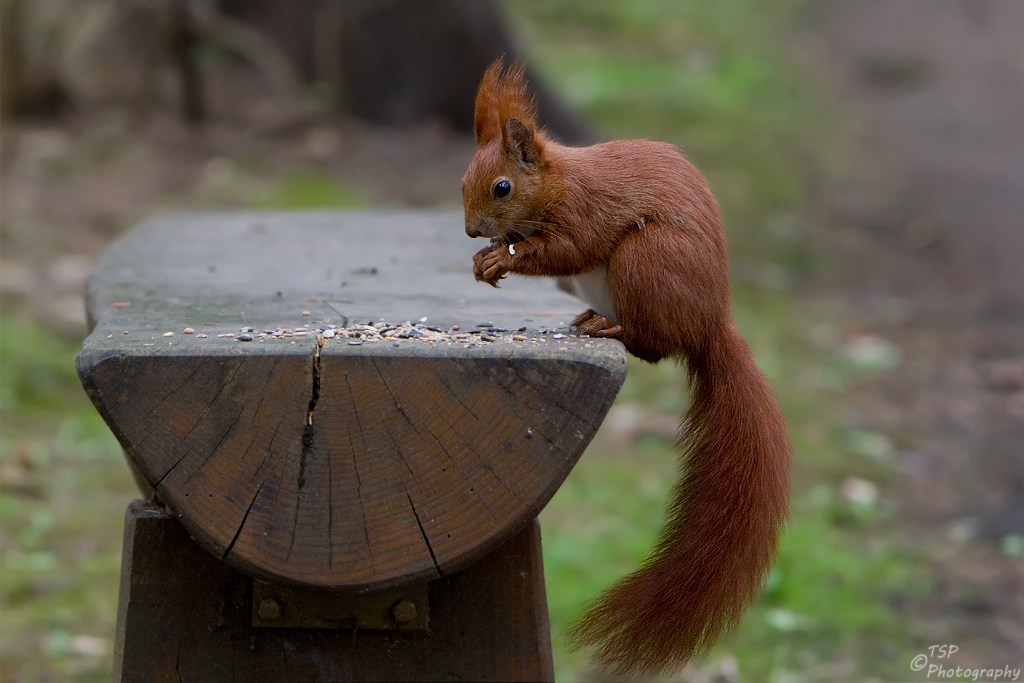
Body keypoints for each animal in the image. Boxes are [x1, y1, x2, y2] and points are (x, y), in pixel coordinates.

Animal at [462, 61, 790, 675]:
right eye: (464, 180)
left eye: (502, 187)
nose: (471, 231)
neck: (559, 182)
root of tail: (709, 323)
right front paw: (482, 258)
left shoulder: (584, 214)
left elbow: (568, 248)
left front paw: (501, 257)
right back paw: (592, 317)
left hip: (645, 258)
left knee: (651, 344)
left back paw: (609, 330)